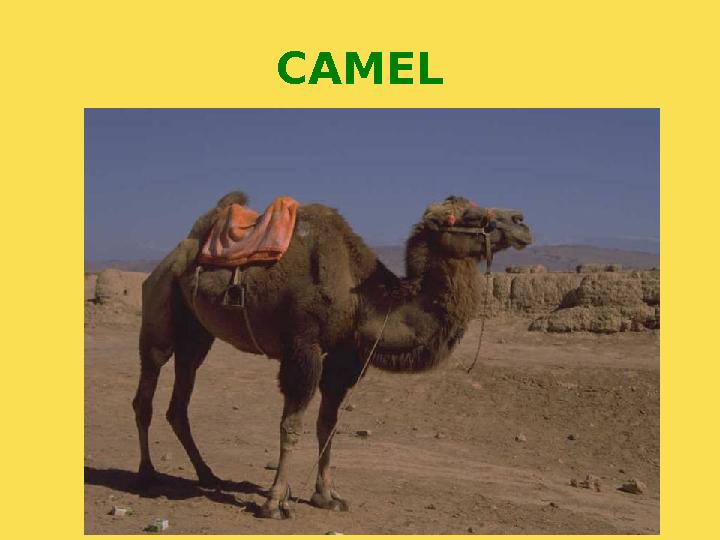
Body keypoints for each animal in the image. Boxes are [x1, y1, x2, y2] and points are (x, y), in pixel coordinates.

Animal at [132, 192, 533, 519]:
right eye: (469, 216)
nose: (521, 222)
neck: (362, 295)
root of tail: (176, 252)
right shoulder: (303, 346)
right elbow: (291, 424)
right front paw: (275, 502)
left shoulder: (344, 356)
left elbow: (329, 424)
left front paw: (327, 496)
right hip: (159, 306)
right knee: (147, 389)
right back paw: (147, 475)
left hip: (197, 333)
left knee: (180, 399)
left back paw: (206, 474)